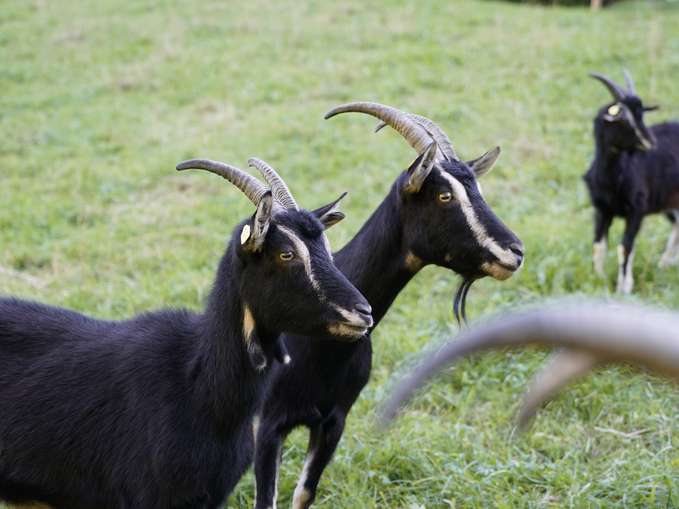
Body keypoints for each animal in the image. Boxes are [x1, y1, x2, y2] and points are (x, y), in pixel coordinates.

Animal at [252, 102, 524, 508]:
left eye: (477, 189)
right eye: (444, 196)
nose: (514, 251)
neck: (321, 345)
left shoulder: (334, 421)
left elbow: (304, 494)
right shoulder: (270, 425)